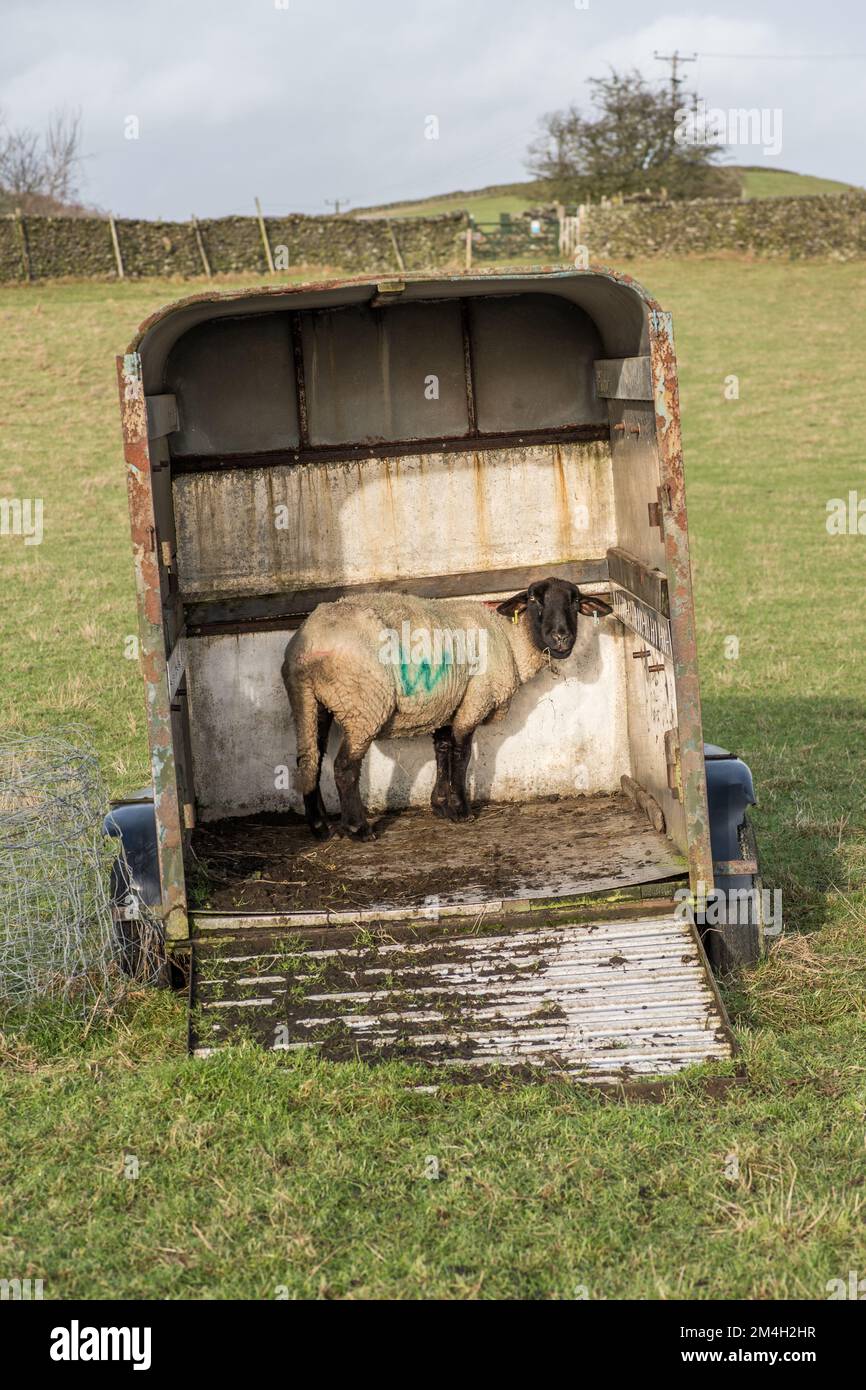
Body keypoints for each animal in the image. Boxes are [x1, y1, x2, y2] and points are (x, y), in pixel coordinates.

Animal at [281, 577, 582, 841]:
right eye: (533, 599)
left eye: (575, 602)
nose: (561, 638)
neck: (510, 640)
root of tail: (304, 650)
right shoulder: (475, 699)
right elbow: (461, 754)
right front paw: (461, 811)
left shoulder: (449, 705)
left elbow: (442, 751)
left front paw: (440, 805)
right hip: (363, 705)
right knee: (344, 767)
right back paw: (358, 829)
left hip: (313, 704)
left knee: (310, 760)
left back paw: (321, 827)